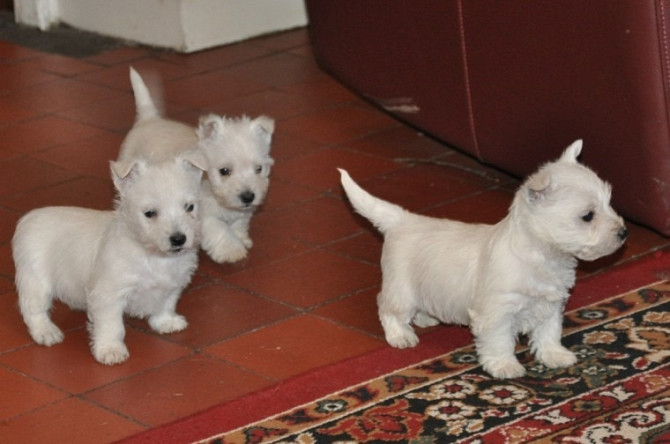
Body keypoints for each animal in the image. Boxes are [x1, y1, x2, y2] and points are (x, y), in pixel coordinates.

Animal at [12, 154, 205, 366]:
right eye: (150, 213)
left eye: (189, 207)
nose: (179, 239)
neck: (152, 255)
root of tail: (27, 218)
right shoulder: (109, 296)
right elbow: (112, 326)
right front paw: (110, 350)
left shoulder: (173, 285)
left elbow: (166, 304)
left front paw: (166, 322)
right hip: (35, 280)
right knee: (33, 310)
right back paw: (46, 332)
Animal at [119, 68, 274, 264]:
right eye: (224, 171)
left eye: (259, 169)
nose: (248, 196)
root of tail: (148, 119)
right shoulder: (202, 216)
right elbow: (219, 230)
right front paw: (231, 250)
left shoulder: (242, 211)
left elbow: (240, 221)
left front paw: (241, 238)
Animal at [342, 141, 632, 378]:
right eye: (587, 216)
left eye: (608, 203)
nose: (623, 232)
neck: (543, 255)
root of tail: (401, 221)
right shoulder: (497, 312)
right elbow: (500, 340)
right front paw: (505, 366)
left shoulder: (549, 305)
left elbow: (549, 333)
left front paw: (555, 356)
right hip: (401, 289)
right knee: (387, 308)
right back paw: (401, 335)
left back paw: (426, 319)